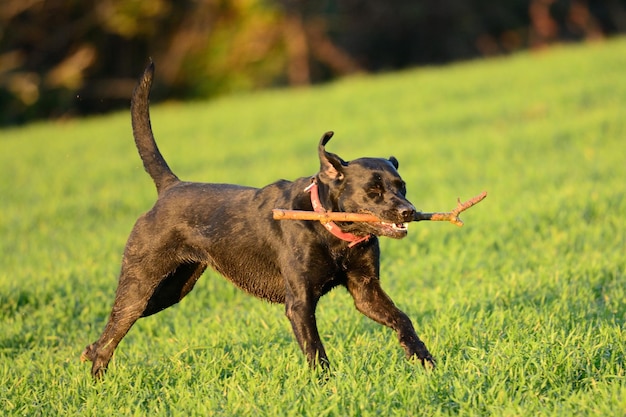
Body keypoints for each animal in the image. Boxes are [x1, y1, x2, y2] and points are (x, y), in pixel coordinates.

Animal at [81, 61, 434, 376]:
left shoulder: (366, 291)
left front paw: (424, 359)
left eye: (401, 186)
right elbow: (315, 350)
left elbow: (402, 318)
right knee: (111, 335)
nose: (408, 211)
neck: (332, 231)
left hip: (169, 292)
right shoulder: (299, 303)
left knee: (104, 336)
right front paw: (326, 386)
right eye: (373, 191)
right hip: (141, 288)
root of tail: (170, 187)